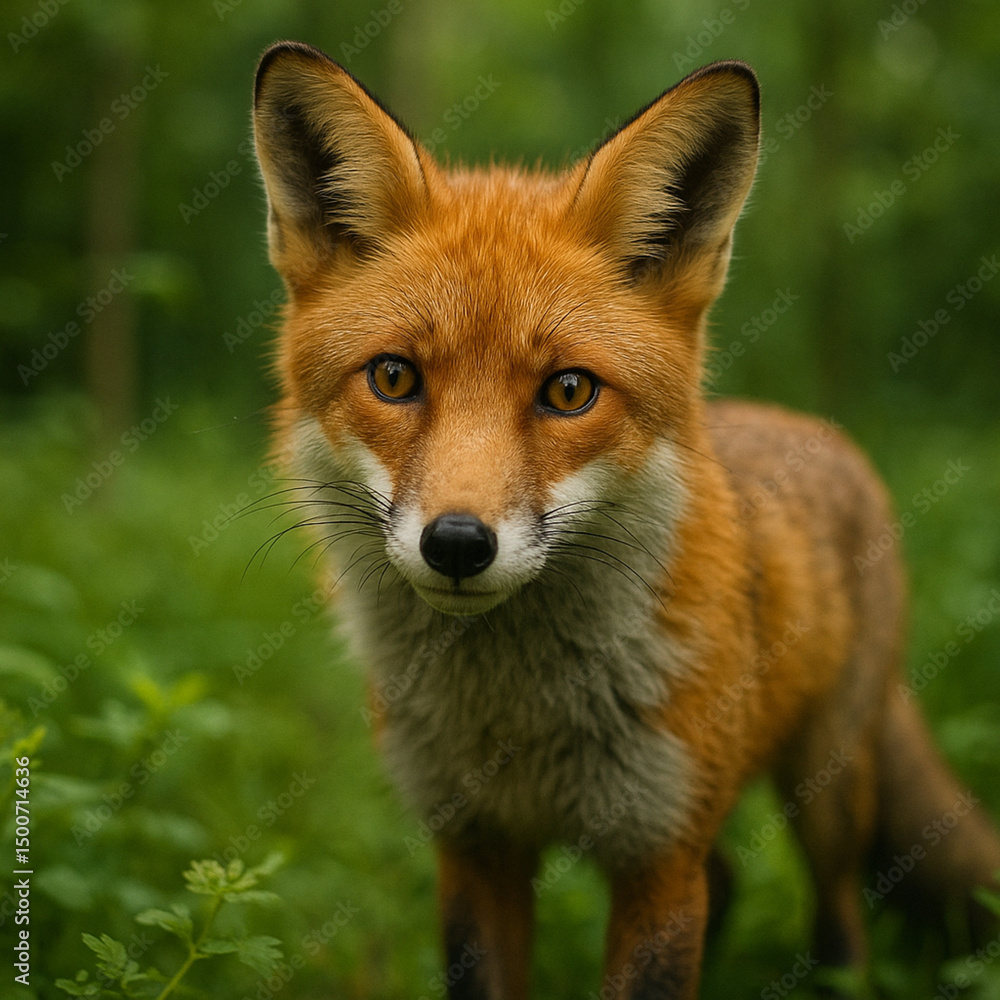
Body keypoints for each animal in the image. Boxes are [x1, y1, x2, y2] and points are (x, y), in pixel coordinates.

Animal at [251, 40, 1000, 999]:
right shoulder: (476, 846)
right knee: (734, 879)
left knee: (840, 917)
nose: (456, 543)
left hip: (826, 789)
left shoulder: (658, 851)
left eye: (570, 391)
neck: (520, 722)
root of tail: (814, 428)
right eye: (394, 378)